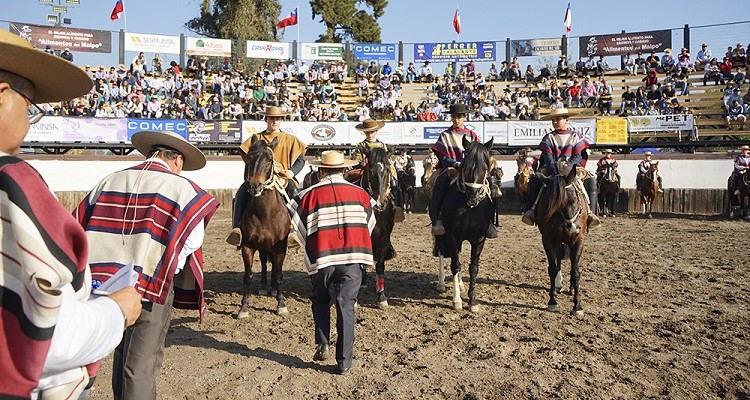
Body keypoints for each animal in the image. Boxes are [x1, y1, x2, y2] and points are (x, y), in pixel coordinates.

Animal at [238, 136, 290, 318]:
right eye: (250, 158)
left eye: (269, 159)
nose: (255, 186)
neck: (265, 213)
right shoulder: (247, 246)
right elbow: (248, 276)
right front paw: (243, 307)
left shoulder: (280, 246)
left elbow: (280, 274)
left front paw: (281, 304)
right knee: (263, 262)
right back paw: (263, 287)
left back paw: (273, 288)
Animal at [432, 138, 496, 312]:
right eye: (466, 166)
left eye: (485, 168)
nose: (472, 199)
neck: (469, 209)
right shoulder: (452, 236)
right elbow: (455, 265)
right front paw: (457, 300)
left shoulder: (479, 239)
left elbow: (473, 267)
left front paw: (472, 300)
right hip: (441, 234)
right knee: (442, 252)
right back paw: (441, 284)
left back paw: (460, 284)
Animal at [536, 164, 592, 314]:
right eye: (545, 199)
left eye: (560, 198)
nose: (544, 217)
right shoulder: (548, 240)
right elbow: (553, 268)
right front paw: (552, 301)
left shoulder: (579, 241)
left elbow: (576, 271)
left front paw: (577, 306)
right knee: (558, 261)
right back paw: (557, 285)